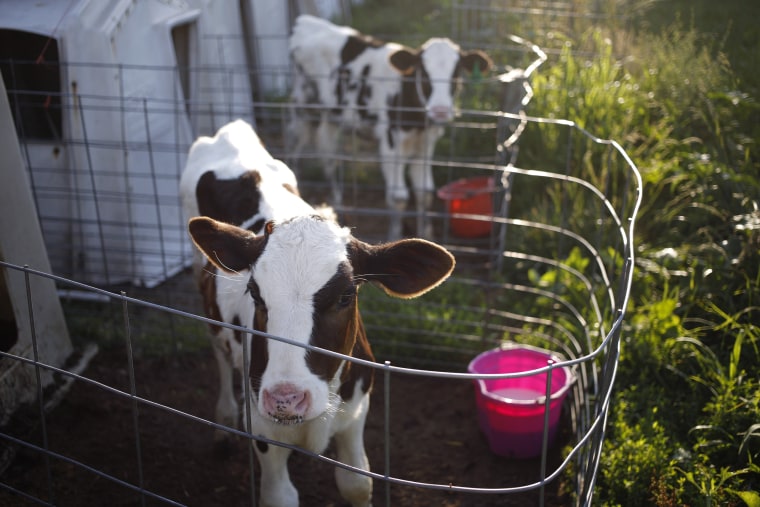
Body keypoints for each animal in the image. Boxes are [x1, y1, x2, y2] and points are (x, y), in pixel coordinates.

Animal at [183, 120, 458, 507]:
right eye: (256, 293)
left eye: (346, 296)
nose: (286, 399)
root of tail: (231, 132)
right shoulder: (264, 430)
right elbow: (280, 496)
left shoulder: (356, 411)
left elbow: (356, 483)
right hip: (199, 277)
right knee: (219, 353)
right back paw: (223, 420)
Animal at [286, 13, 492, 240]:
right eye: (423, 72)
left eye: (456, 72)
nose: (440, 110)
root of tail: (307, 21)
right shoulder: (390, 144)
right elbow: (399, 197)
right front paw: (395, 235)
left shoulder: (426, 142)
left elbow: (424, 192)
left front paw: (426, 234)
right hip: (302, 107)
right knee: (297, 150)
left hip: (331, 116)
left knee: (329, 159)